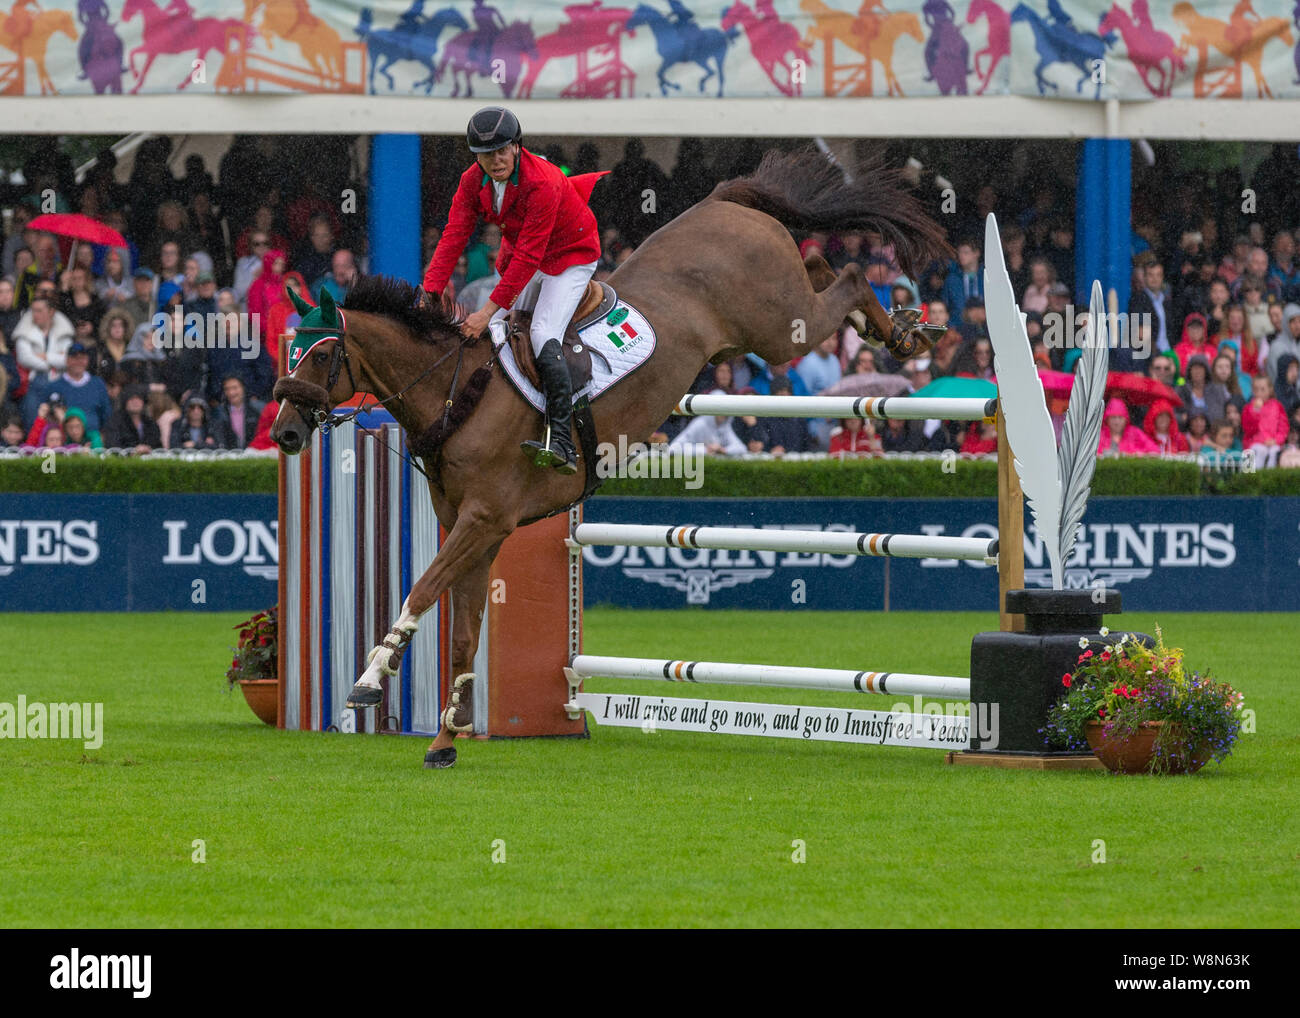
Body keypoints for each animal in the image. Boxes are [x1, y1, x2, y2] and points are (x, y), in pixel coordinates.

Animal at [271, 151, 946, 769]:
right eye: (291, 351)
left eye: (322, 355)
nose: (284, 433)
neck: (456, 392)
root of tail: (722, 202)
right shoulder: (473, 530)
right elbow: (462, 634)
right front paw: (445, 741)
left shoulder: (484, 520)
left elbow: (421, 590)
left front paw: (369, 680)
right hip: (763, 330)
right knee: (821, 265)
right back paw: (890, 325)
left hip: (780, 329)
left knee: (850, 273)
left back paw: (904, 332)